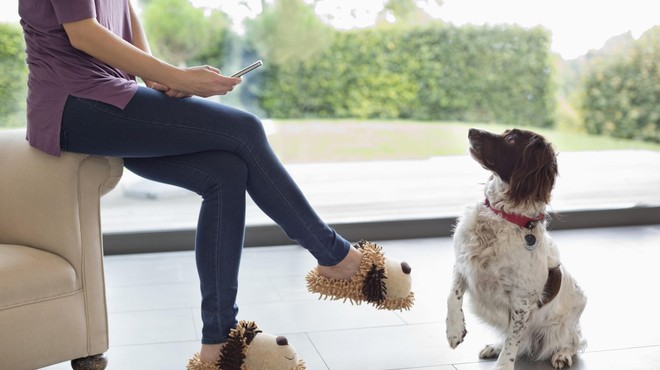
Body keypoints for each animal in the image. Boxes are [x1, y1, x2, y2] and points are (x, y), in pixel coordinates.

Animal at [446, 128, 584, 370]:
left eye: (511, 139)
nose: (472, 130)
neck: (504, 215)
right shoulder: (462, 263)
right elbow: (452, 296)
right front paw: (454, 330)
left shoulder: (523, 299)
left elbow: (513, 340)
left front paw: (503, 365)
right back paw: (494, 347)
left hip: (567, 320)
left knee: (572, 341)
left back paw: (562, 355)